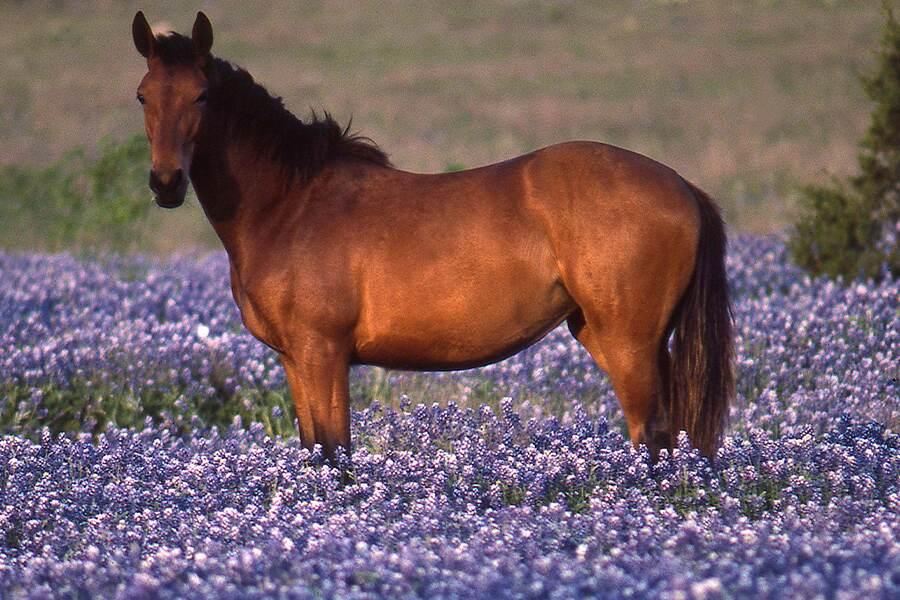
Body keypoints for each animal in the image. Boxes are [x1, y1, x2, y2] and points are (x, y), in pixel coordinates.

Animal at [131, 11, 734, 460]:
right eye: (143, 96)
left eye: (202, 95)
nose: (166, 183)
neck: (291, 205)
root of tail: (681, 185)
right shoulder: (294, 360)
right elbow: (314, 451)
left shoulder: (323, 354)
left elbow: (335, 454)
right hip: (608, 336)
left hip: (631, 343)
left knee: (651, 436)